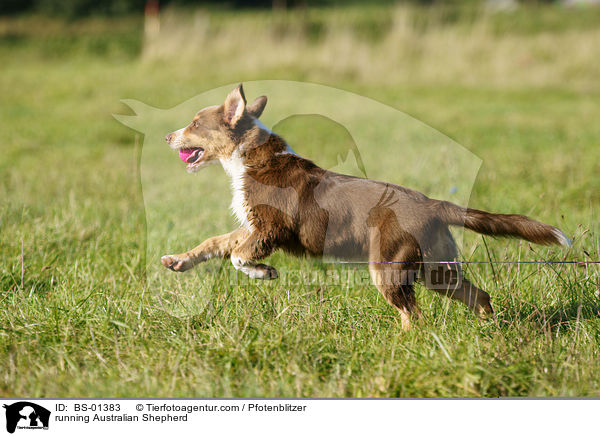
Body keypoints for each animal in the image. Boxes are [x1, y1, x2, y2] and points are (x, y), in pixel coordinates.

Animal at [162, 84, 568, 330]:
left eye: (194, 124)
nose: (166, 136)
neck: (248, 159)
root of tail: (434, 205)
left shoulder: (269, 228)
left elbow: (237, 256)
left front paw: (264, 273)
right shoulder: (249, 226)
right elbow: (216, 243)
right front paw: (177, 261)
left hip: (389, 265)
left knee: (414, 314)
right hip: (435, 266)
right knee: (476, 295)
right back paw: (488, 329)